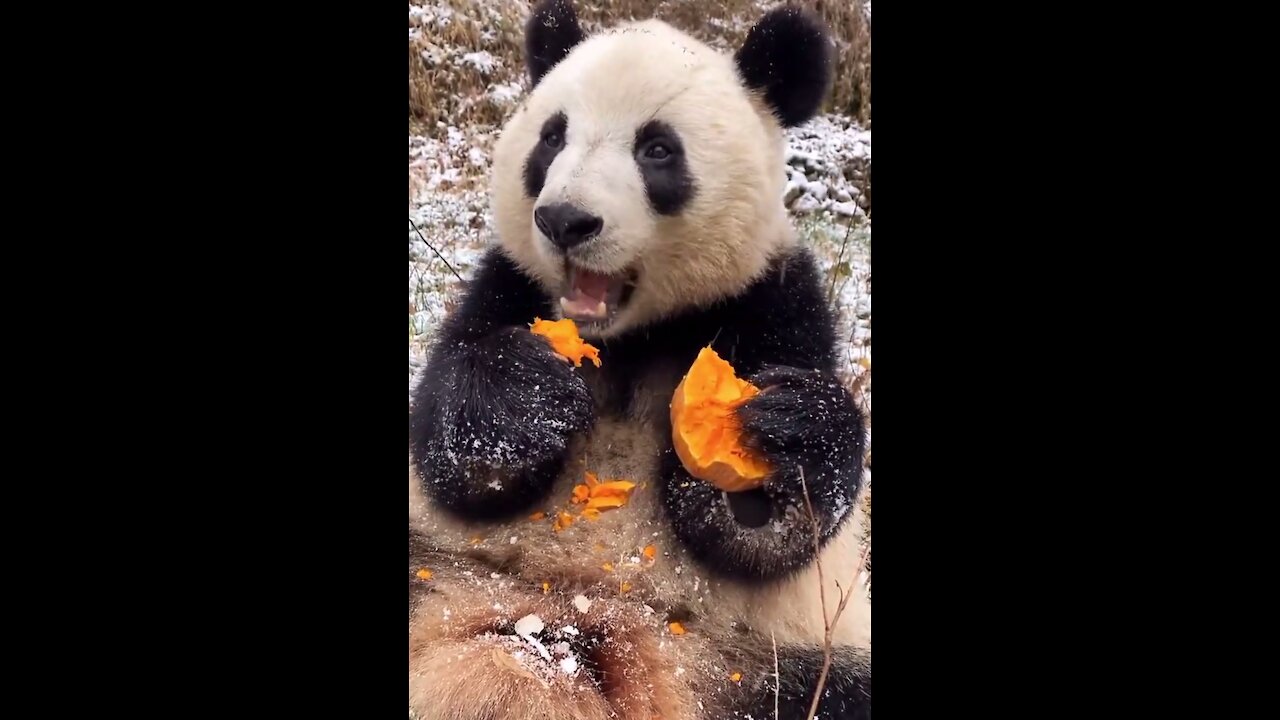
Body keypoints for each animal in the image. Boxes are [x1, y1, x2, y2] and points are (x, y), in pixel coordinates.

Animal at [409, 2, 870, 712]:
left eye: (657, 149)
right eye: (552, 138)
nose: (565, 221)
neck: (626, 339)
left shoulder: (774, 302)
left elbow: (766, 537)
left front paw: (784, 435)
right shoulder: (508, 284)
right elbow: (452, 455)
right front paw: (525, 393)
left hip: (765, 660)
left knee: (830, 687)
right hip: (437, 568)